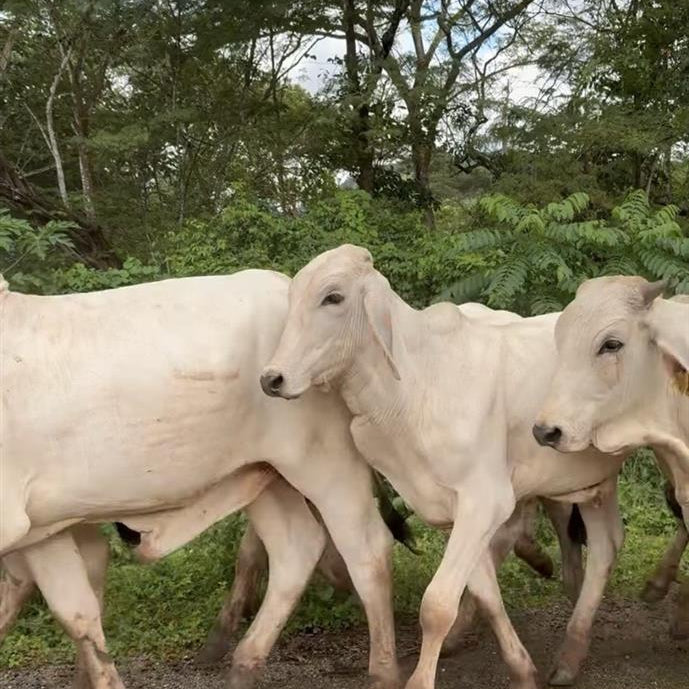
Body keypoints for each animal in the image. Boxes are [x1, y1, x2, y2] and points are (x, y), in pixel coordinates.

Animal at [0, 270, 399, 689]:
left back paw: (383, 671)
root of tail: (282, 281)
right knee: (296, 549)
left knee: (368, 549)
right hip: (264, 476)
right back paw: (244, 663)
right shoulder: (43, 530)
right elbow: (76, 613)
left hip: (325, 464)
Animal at [260, 244, 629, 689]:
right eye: (294, 294)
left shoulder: (485, 501)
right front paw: (523, 670)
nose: (272, 378)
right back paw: (571, 655)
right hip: (595, 484)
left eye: (333, 297)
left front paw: (421, 680)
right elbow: (487, 595)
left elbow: (436, 605)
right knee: (607, 545)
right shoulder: (452, 511)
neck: (415, 387)